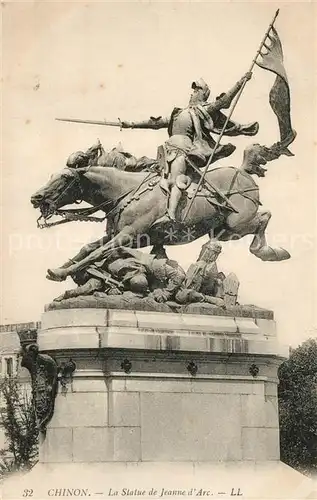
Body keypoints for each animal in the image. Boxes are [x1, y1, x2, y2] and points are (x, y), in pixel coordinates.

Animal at [30, 148, 290, 282]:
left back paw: (270, 252)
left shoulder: (129, 236)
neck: (125, 191)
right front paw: (61, 269)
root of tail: (243, 172)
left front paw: (63, 272)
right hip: (224, 228)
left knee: (264, 217)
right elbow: (87, 249)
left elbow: (98, 252)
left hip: (237, 223)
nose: (36, 198)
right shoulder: (125, 237)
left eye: (65, 177)